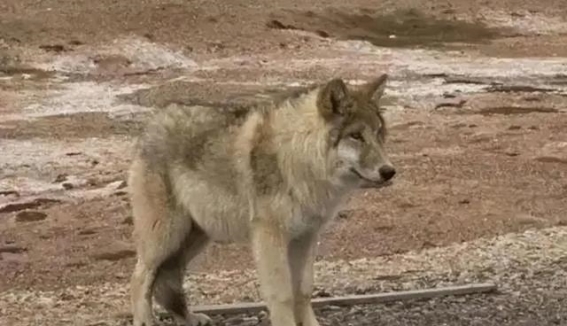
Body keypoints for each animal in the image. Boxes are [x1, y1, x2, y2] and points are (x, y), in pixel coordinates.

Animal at [129, 74, 394, 326]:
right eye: (356, 136)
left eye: (378, 133)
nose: (389, 171)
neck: (298, 158)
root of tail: (151, 122)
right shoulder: (270, 236)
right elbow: (283, 295)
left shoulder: (306, 237)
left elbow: (304, 291)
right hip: (165, 237)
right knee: (140, 276)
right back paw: (144, 320)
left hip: (196, 236)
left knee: (167, 278)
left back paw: (190, 318)